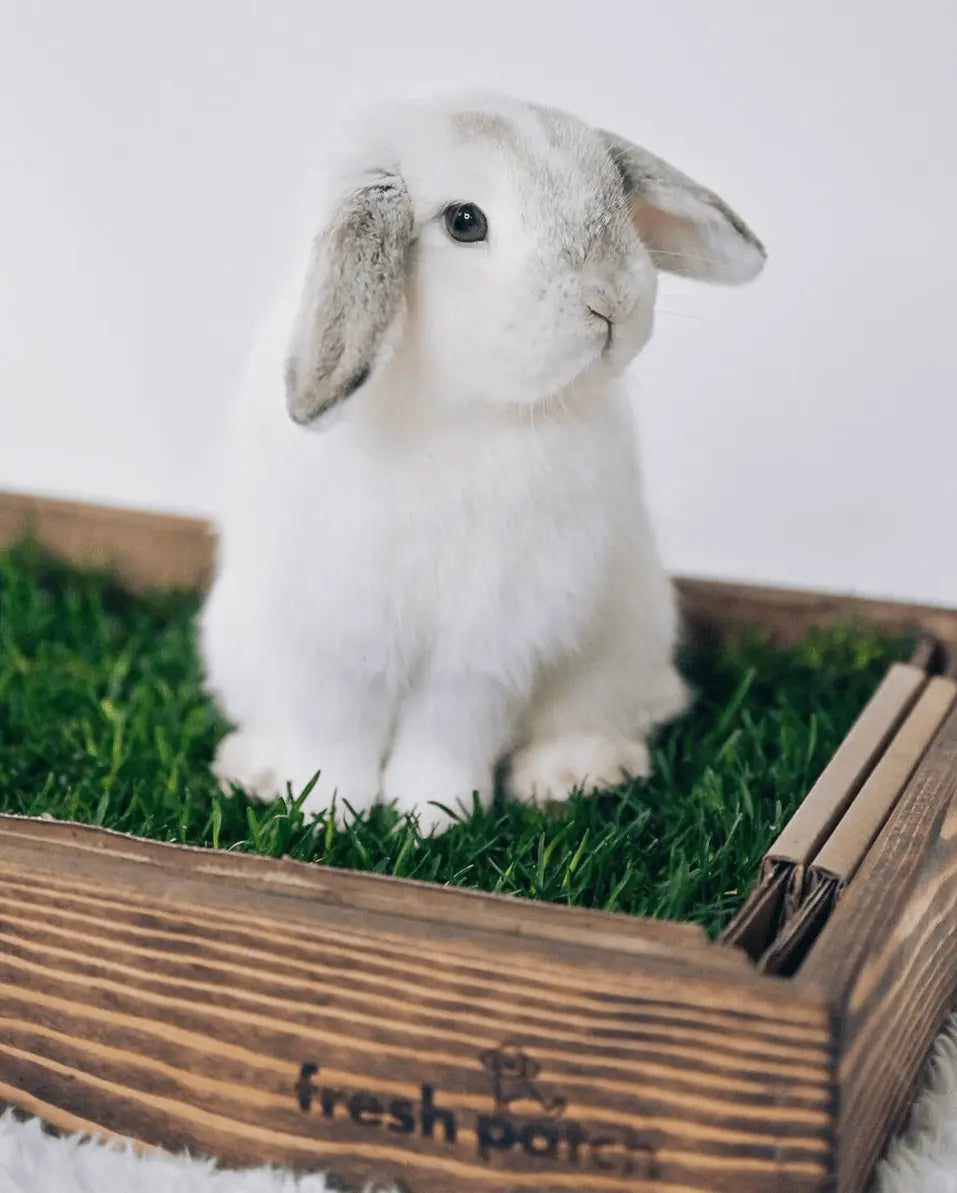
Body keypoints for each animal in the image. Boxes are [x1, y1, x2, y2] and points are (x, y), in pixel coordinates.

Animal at [198, 87, 766, 835]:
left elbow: (447, 730)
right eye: (465, 222)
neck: (463, 412)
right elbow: (335, 731)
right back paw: (255, 768)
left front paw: (429, 819)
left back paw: (571, 776)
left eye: (613, 194)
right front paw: (326, 814)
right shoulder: (334, 635)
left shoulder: (489, 642)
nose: (610, 300)